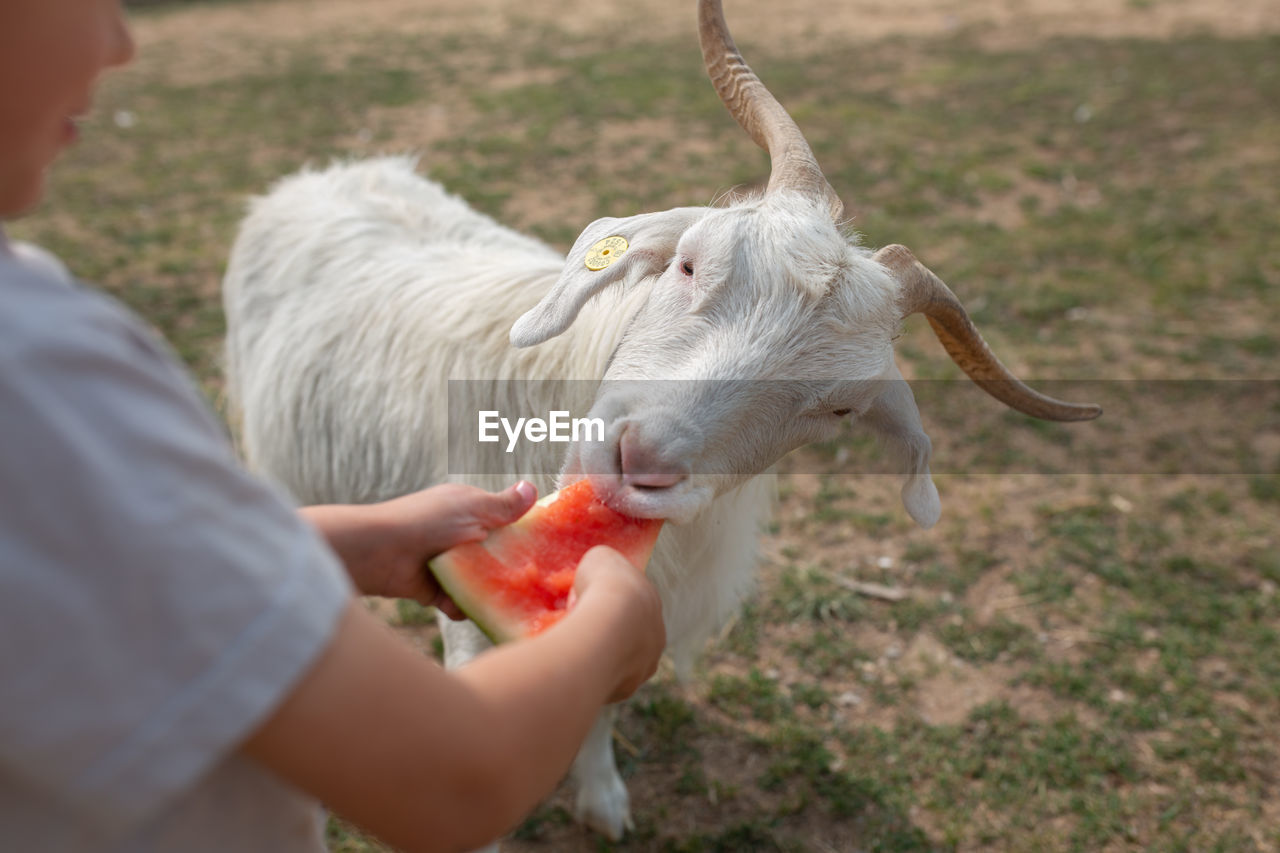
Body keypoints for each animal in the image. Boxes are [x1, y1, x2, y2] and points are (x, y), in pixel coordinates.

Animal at [217, 0, 1090, 835]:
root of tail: (327, 176)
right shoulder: (468, 640)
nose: (641, 458)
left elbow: (599, 699)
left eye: (837, 405)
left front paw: (602, 796)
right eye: (690, 262)